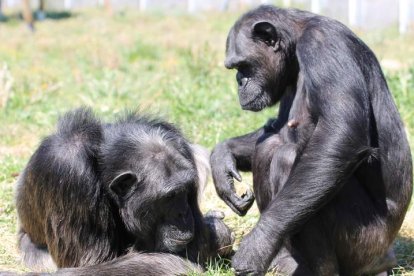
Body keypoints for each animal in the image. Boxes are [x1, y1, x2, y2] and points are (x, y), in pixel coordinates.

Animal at [16, 107, 234, 274]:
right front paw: (216, 232)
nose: (183, 213)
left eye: (185, 190)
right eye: (170, 196)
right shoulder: (68, 169)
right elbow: (91, 263)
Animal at [212, 4, 412, 276]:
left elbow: (339, 133)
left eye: (244, 65)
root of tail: (387, 257)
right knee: (268, 147)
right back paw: (286, 259)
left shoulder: (324, 46)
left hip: (366, 244)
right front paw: (222, 157)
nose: (239, 81)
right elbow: (276, 126)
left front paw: (259, 243)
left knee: (288, 159)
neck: (296, 44)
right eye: (234, 68)